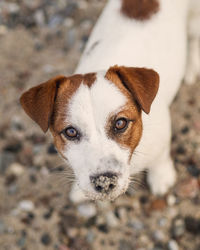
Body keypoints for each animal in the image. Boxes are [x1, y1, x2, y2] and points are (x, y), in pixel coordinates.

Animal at [20, 0, 200, 201]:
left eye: (120, 123)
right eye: (71, 132)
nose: (104, 181)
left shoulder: (161, 135)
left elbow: (160, 158)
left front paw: (161, 176)